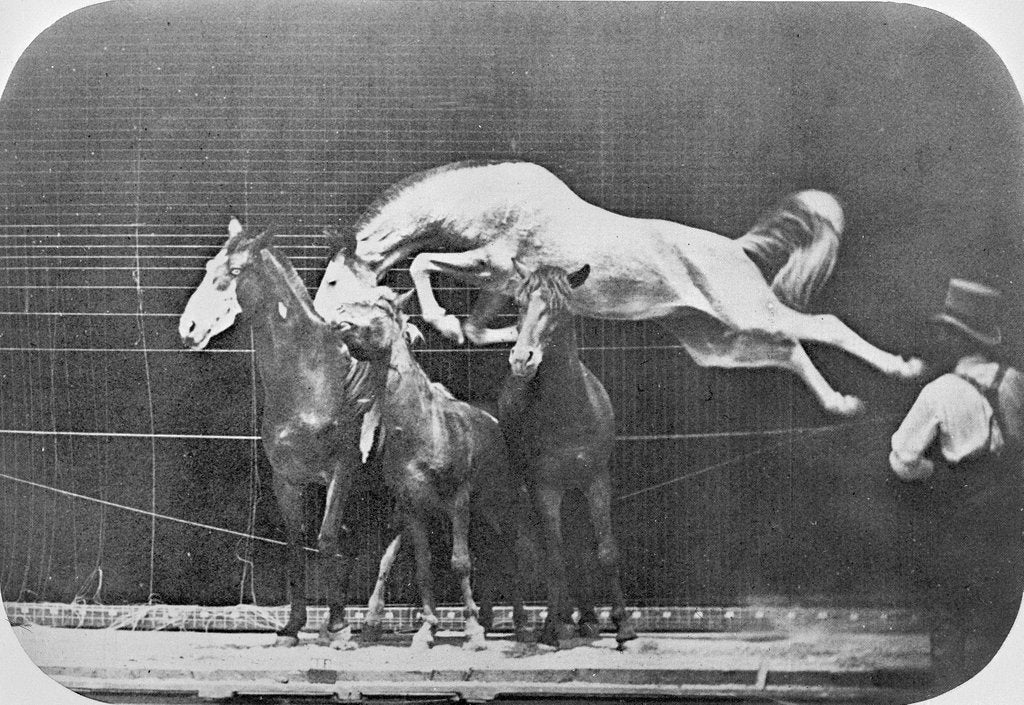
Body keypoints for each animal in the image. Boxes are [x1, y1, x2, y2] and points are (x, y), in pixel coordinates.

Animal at [178, 218, 396, 648]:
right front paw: (294, 627)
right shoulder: (287, 479)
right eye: (210, 266)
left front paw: (338, 628)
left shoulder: (341, 472)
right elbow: (296, 545)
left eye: (234, 271)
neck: (310, 379)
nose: (189, 328)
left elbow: (326, 539)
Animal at [312, 160, 924, 416]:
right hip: (714, 343)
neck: (490, 197)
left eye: (335, 278)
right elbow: (481, 326)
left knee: (823, 326)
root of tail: (736, 248)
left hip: (748, 311)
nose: (324, 320)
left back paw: (903, 368)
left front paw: (437, 321)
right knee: (790, 349)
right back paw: (840, 403)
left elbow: (422, 264)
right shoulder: (500, 286)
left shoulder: (491, 263)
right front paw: (471, 335)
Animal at [325, 283, 533, 649]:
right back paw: (489, 618)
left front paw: (473, 632)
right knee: (492, 556)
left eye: (382, 305)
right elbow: (423, 567)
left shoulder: (458, 500)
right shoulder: (413, 508)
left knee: (512, 551)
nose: (339, 317)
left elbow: (460, 563)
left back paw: (518, 625)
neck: (424, 431)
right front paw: (427, 631)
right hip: (479, 514)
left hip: (499, 505)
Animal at [497, 259, 636, 648]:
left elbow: (604, 551)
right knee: (526, 548)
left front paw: (622, 625)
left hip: (574, 493)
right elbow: (554, 558)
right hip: (523, 490)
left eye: (559, 307)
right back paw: (529, 623)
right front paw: (554, 627)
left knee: (576, 546)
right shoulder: (545, 488)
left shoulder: (596, 480)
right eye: (518, 303)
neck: (571, 412)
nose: (521, 359)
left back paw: (584, 617)